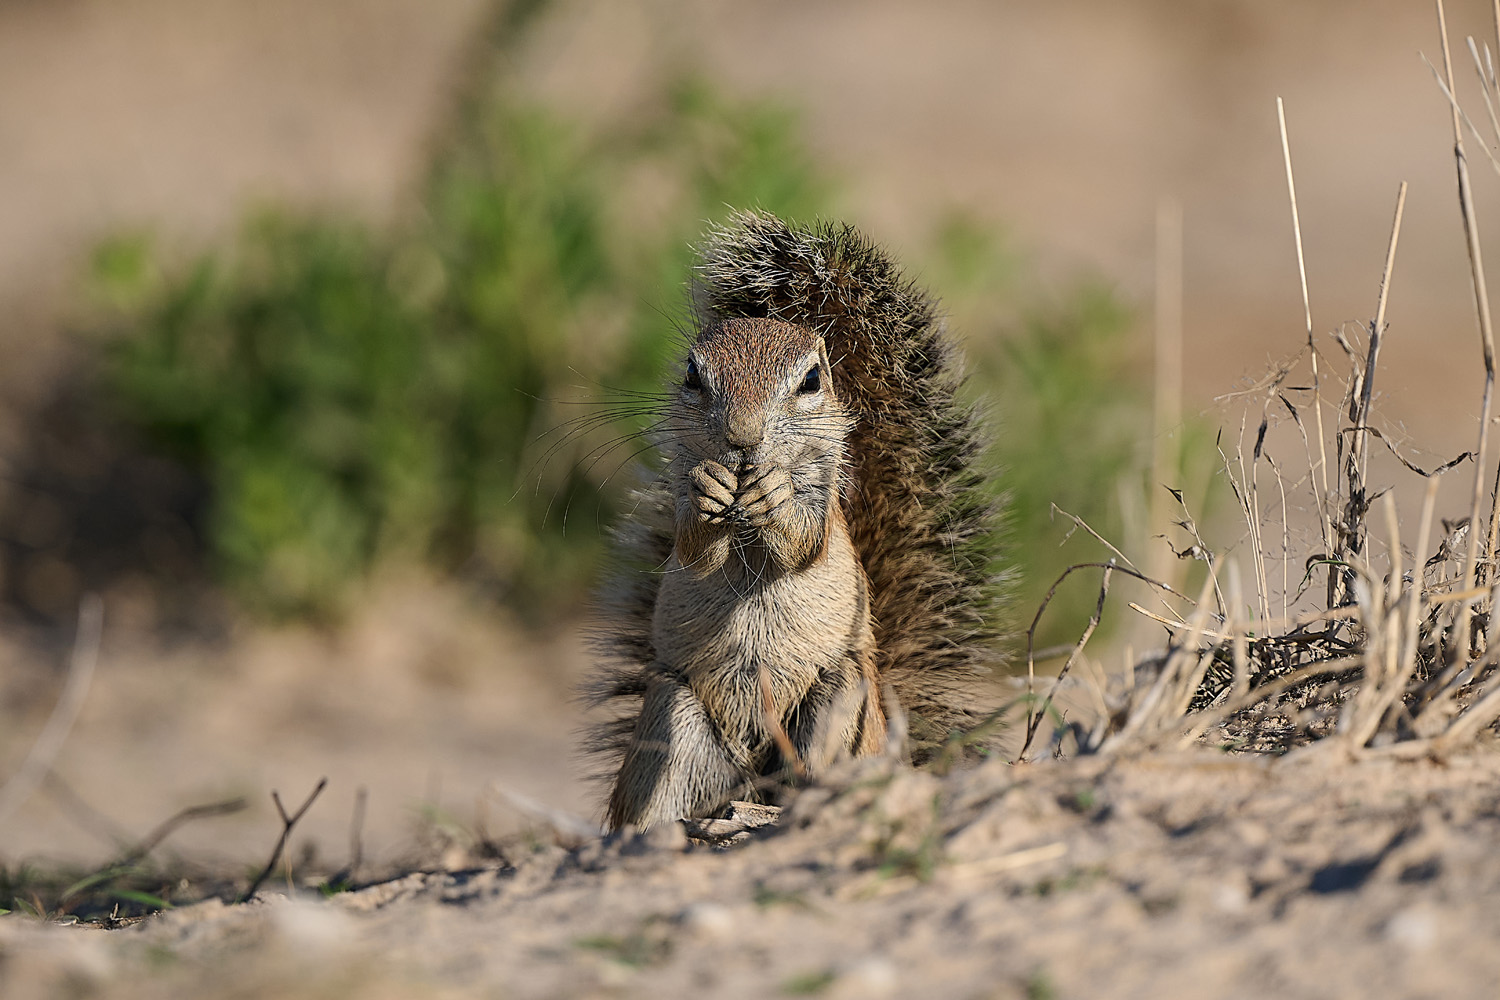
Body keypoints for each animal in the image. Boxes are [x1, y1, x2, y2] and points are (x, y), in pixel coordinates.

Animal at [585, 211, 1006, 831]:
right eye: (691, 374)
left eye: (810, 380)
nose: (741, 439)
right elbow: (694, 549)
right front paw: (712, 487)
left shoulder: (825, 505)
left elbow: (804, 544)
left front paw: (776, 496)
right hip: (674, 712)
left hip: (838, 701)